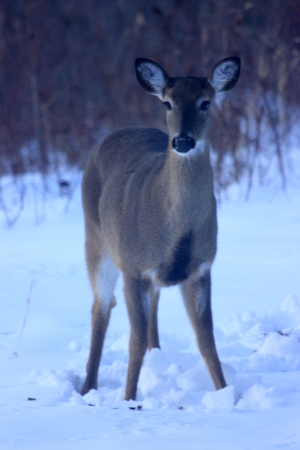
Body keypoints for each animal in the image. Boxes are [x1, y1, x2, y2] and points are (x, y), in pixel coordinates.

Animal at [81, 56, 240, 400]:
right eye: (167, 103)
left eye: (206, 102)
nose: (182, 140)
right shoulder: (133, 267)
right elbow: (134, 342)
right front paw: (128, 399)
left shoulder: (201, 267)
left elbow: (207, 342)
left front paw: (225, 394)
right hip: (96, 239)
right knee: (101, 306)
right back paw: (88, 387)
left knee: (151, 307)